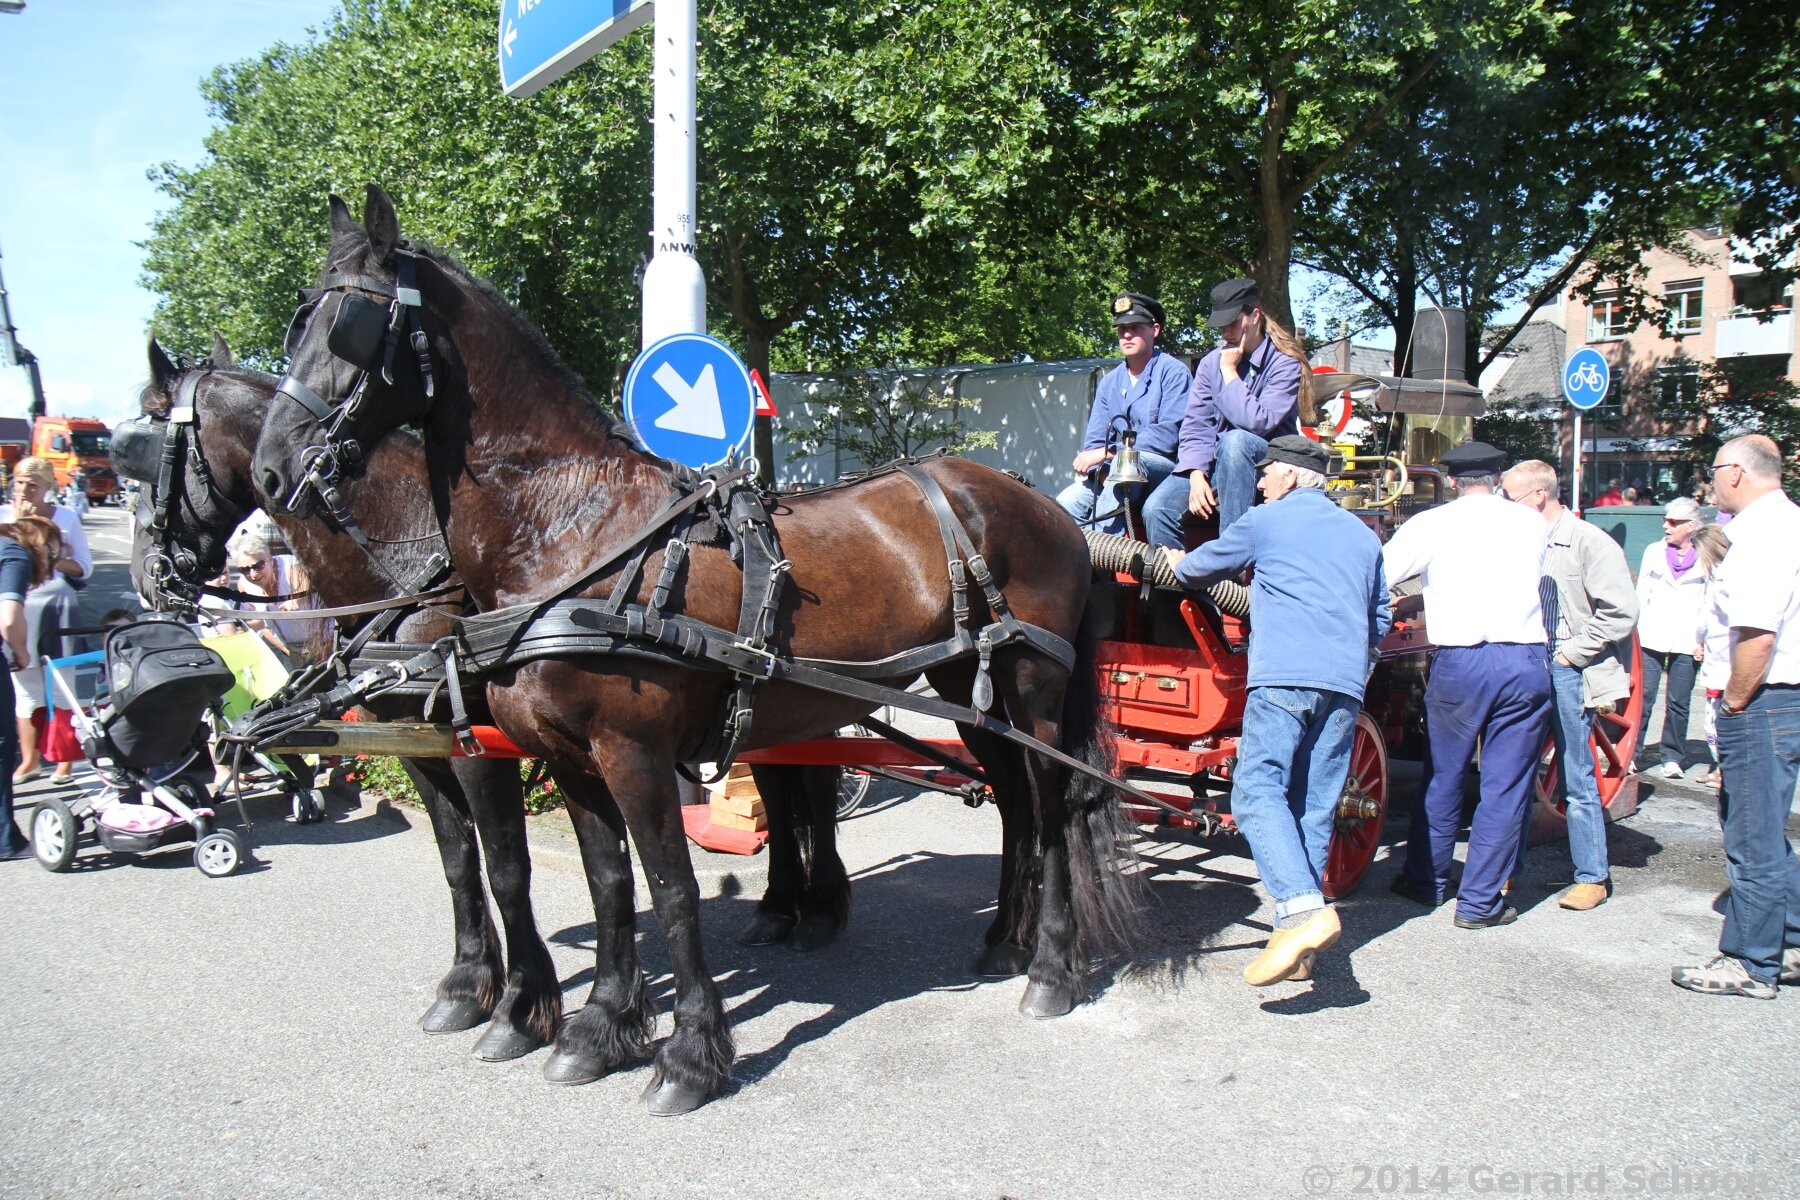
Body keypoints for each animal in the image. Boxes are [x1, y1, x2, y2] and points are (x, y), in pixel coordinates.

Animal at [253, 188, 1137, 1115]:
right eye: (298, 321)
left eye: (350, 324)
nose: (274, 469)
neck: (572, 529)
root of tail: (1041, 504)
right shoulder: (567, 757)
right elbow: (607, 884)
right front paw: (598, 1030)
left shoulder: (630, 753)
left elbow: (669, 888)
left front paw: (688, 1056)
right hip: (969, 689)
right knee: (1017, 806)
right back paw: (1006, 941)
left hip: (1031, 686)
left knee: (1053, 804)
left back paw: (1051, 968)